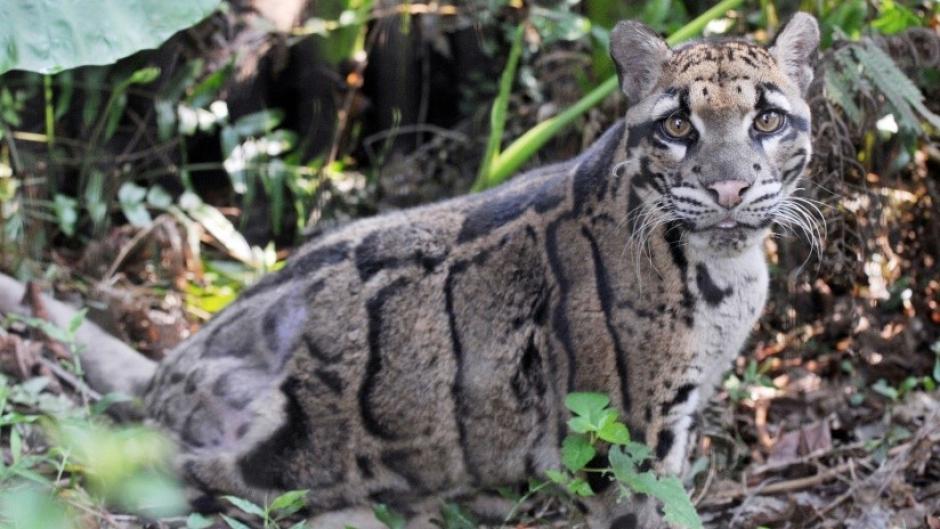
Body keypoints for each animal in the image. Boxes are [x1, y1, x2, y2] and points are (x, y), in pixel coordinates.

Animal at [0, 13, 820, 529]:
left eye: (767, 120)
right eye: (678, 125)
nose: (729, 188)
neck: (724, 267)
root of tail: (171, 364)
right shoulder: (624, 443)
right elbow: (649, 508)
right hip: (266, 455)